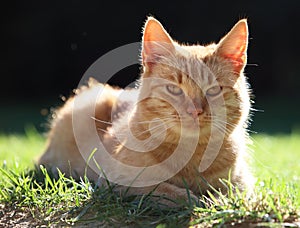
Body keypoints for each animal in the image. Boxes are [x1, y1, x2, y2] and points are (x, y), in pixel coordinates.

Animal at [37, 16, 253, 204]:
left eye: (214, 90)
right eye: (174, 89)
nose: (195, 111)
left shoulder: (244, 183)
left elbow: (230, 192)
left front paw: (215, 200)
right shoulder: (115, 182)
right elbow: (166, 191)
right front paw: (196, 200)